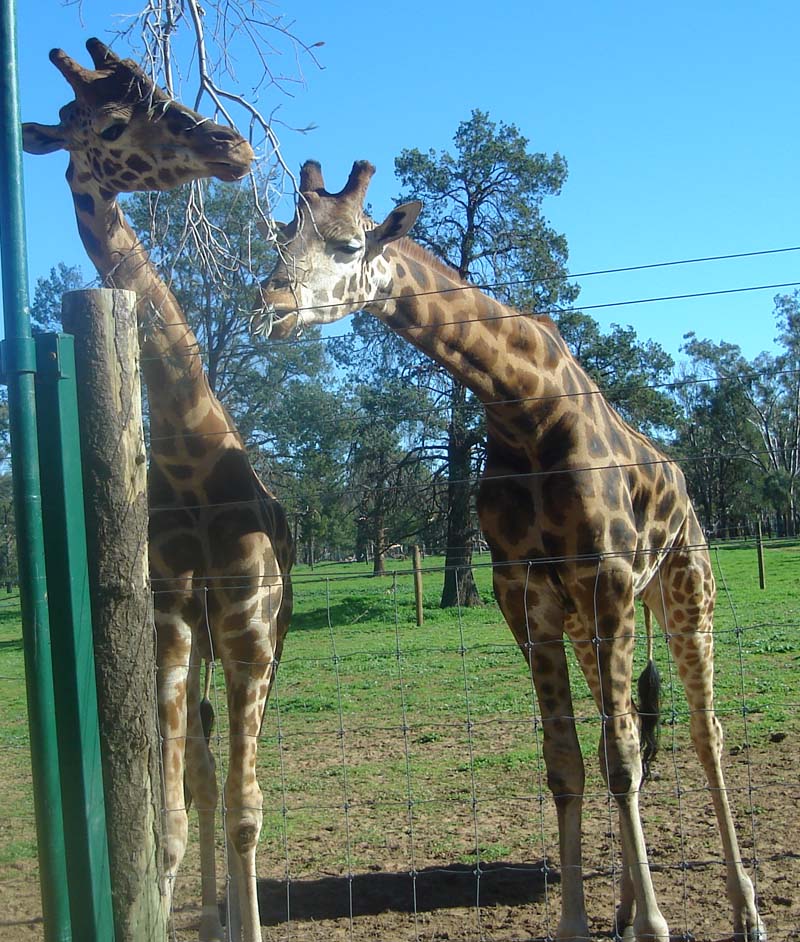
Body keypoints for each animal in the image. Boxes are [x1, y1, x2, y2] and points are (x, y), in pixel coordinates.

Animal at [23, 39, 294, 942]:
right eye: (110, 124)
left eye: (165, 93)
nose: (231, 145)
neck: (187, 455)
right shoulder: (173, 629)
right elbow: (172, 817)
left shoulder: (251, 631)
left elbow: (247, 810)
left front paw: (243, 923)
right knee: (204, 777)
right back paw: (212, 914)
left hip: (262, 646)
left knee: (232, 787)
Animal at [252, 159, 766, 942]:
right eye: (281, 236)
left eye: (346, 245)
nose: (268, 305)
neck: (522, 405)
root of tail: (683, 481)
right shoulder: (525, 595)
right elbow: (568, 761)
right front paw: (582, 924)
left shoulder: (608, 579)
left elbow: (622, 758)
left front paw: (656, 924)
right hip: (593, 624)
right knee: (628, 737)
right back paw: (622, 908)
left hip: (684, 588)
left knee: (703, 733)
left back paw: (745, 910)